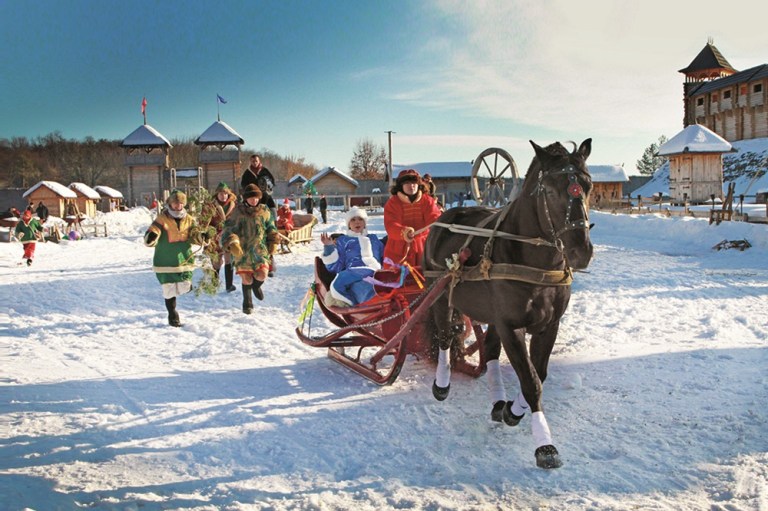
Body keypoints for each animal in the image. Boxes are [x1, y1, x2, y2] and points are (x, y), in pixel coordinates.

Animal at [424, 138, 592, 470]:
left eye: (588, 186)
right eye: (549, 191)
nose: (581, 251)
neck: (534, 262)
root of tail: (444, 218)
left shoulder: (548, 325)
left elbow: (538, 374)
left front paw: (513, 411)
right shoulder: (511, 325)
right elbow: (530, 380)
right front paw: (545, 446)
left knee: (488, 348)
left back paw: (498, 402)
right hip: (441, 293)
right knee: (446, 336)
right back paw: (442, 383)